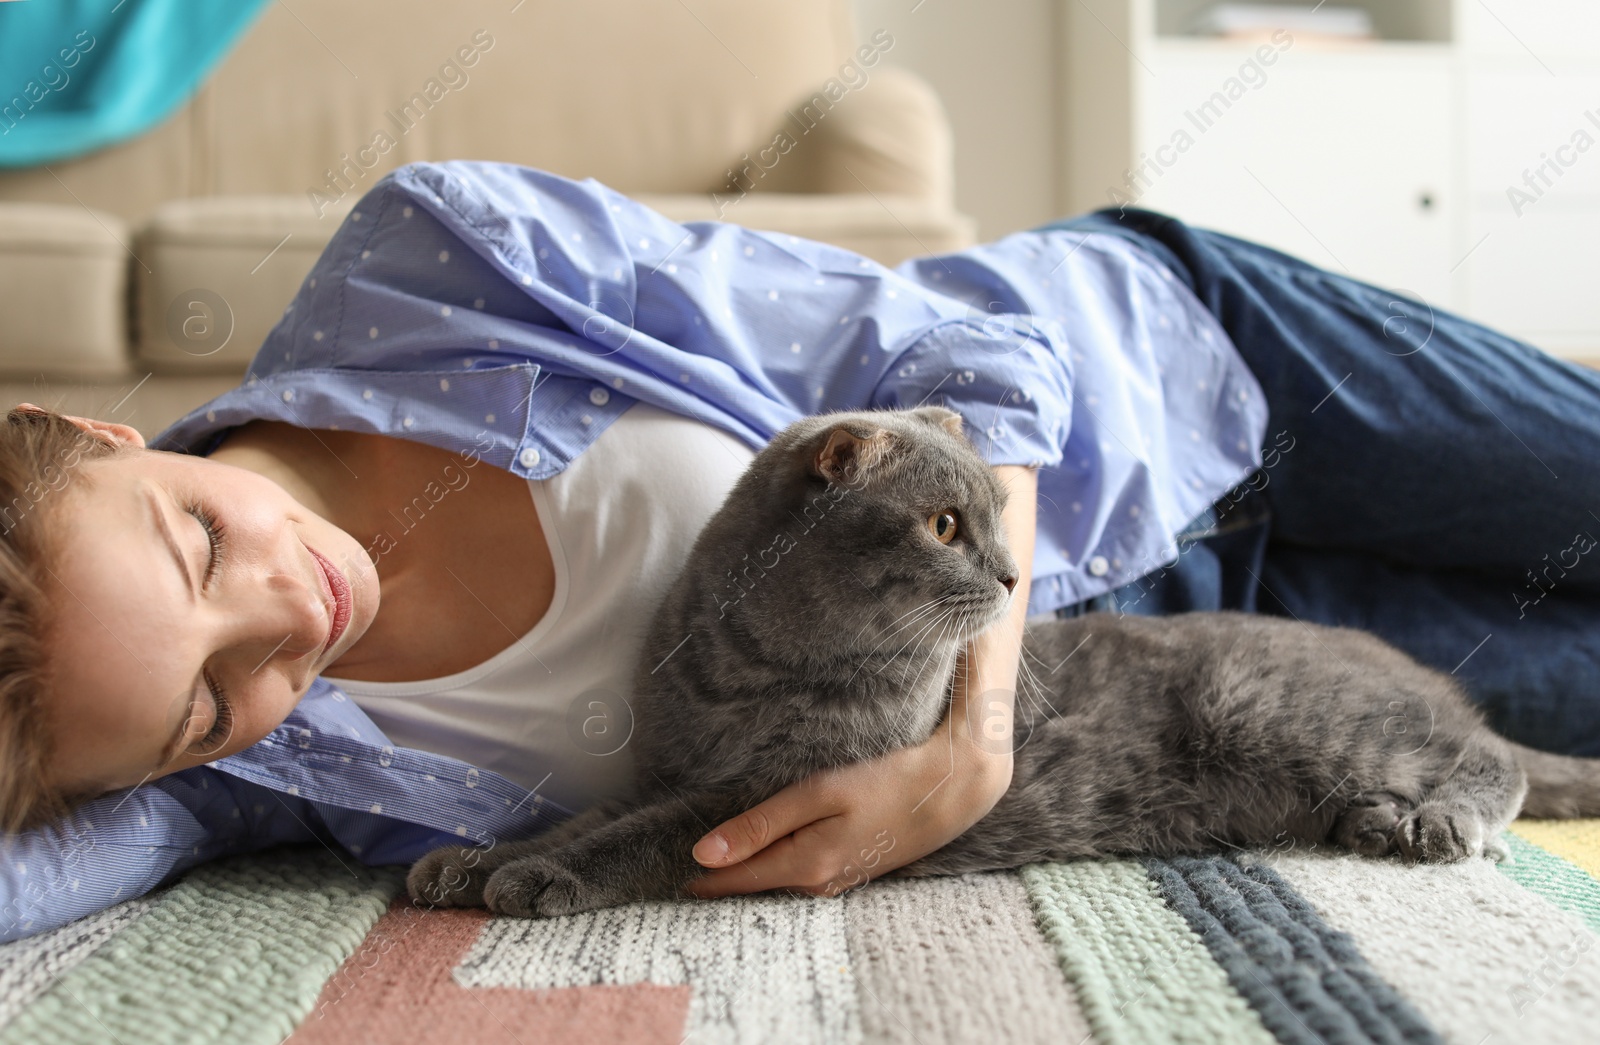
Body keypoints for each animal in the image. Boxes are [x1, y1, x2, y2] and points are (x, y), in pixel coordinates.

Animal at [403, 403, 1600, 915]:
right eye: (943, 524)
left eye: (989, 517)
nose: (1019, 574)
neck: (748, 671)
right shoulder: (673, 769)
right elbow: (591, 813)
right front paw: (473, 859)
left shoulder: (760, 794)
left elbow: (640, 839)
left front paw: (535, 876)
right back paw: (1378, 820)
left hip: (1277, 707)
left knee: (1489, 753)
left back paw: (1436, 820)